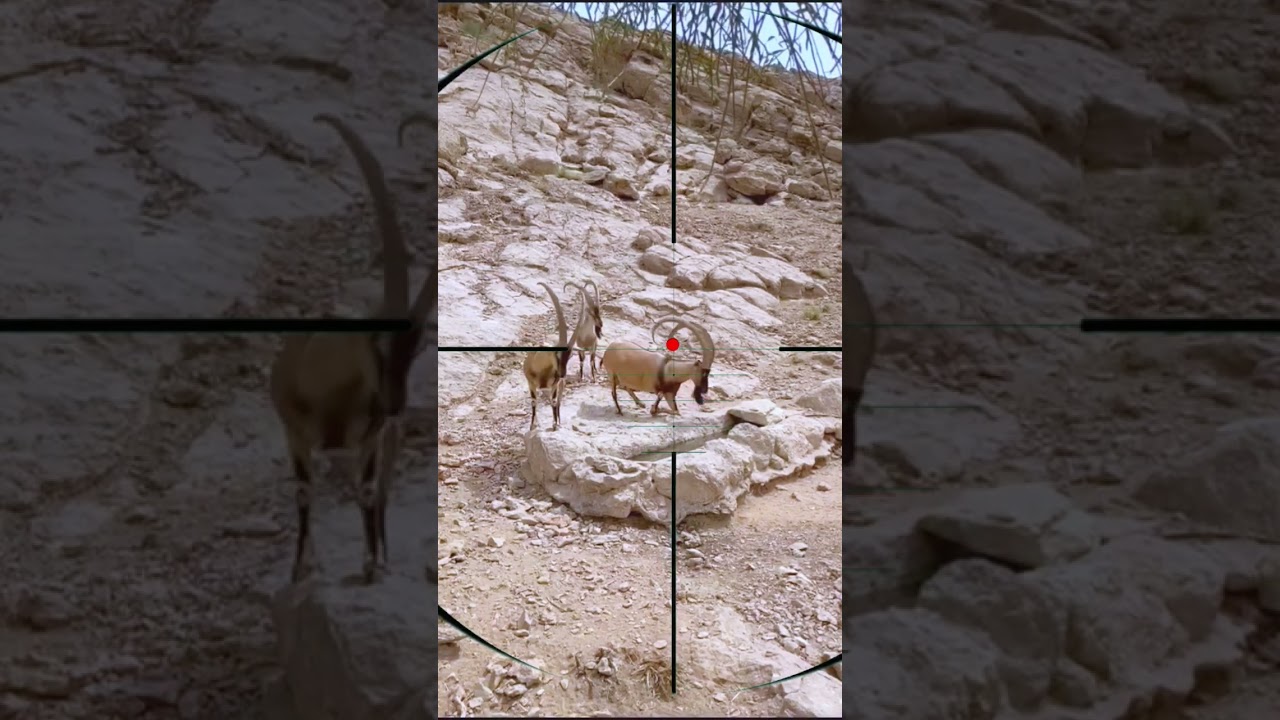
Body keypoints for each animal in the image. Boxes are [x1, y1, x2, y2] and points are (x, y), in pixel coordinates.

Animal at [269, 113, 435, 584]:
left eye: (417, 347)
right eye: (375, 343)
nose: (396, 405)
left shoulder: (370, 439)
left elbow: (366, 490)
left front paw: (372, 564)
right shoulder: (294, 435)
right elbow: (304, 491)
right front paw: (301, 568)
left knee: (379, 494)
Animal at [521, 283, 573, 431]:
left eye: (570, 356)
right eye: (557, 355)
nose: (562, 374)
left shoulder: (554, 385)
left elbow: (554, 401)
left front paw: (555, 424)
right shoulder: (531, 384)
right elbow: (534, 401)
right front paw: (533, 425)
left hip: (560, 385)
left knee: (558, 401)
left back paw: (559, 420)